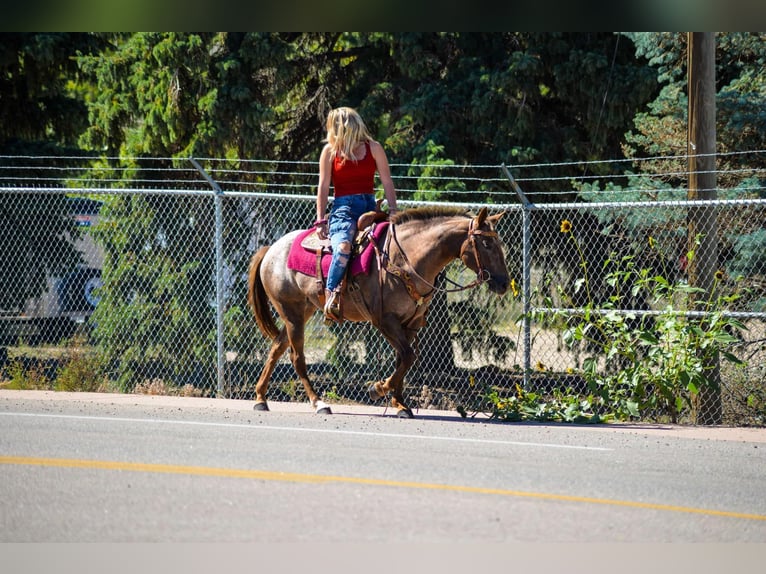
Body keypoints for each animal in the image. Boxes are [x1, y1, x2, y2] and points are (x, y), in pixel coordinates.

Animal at [248, 206, 510, 418]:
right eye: (487, 244)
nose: (504, 283)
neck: (407, 260)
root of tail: (270, 249)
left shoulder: (410, 323)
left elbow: (402, 359)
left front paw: (400, 404)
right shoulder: (384, 321)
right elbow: (408, 357)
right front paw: (378, 389)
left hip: (302, 311)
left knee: (276, 348)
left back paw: (261, 398)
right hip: (292, 313)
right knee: (296, 357)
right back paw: (318, 402)